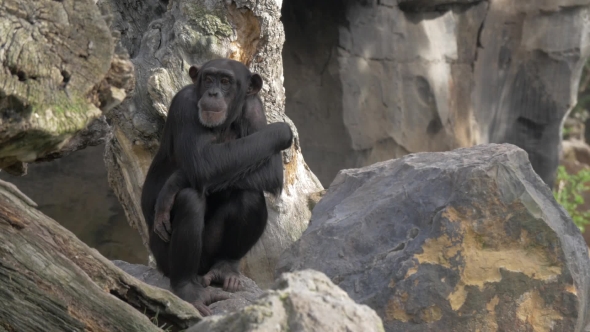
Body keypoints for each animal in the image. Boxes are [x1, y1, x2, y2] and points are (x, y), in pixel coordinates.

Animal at [141, 59, 294, 316]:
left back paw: (226, 268)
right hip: (163, 258)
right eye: (209, 79)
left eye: (225, 81)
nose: (213, 93)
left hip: (211, 256)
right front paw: (282, 130)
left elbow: (270, 170)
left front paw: (174, 182)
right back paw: (188, 289)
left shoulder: (253, 108)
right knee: (189, 200)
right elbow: (203, 163)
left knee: (250, 195)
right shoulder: (184, 105)